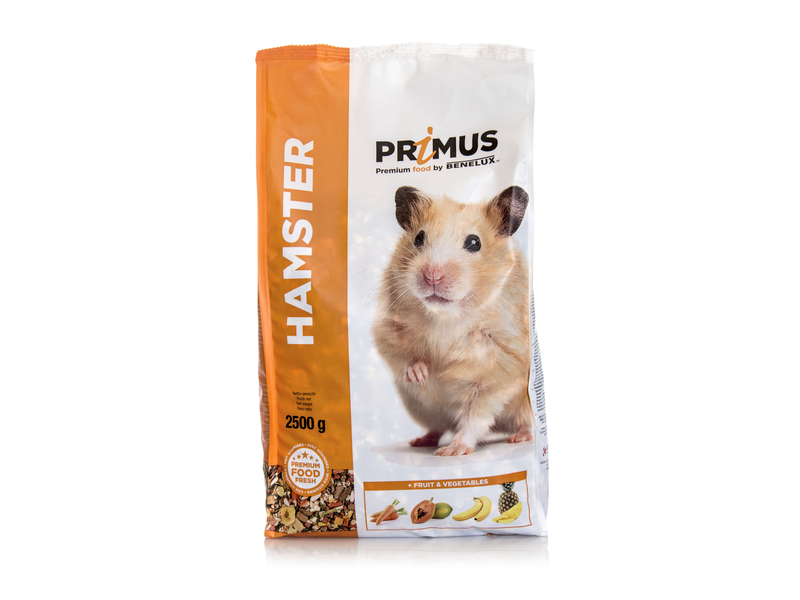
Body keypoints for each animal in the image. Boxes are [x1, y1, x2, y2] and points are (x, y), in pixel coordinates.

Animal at [371, 185, 533, 456]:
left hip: (523, 406)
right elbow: (402, 355)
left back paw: (519, 438)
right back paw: (420, 441)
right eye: (418, 238)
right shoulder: (388, 326)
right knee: (438, 427)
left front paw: (453, 451)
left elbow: (474, 416)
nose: (432, 277)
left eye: (474, 242)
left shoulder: (500, 367)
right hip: (421, 408)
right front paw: (423, 374)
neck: (446, 315)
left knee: (523, 423)